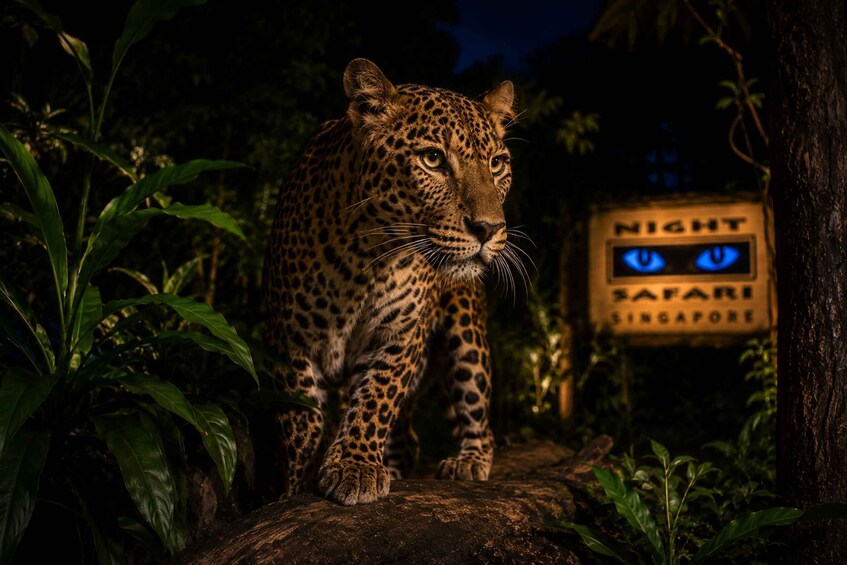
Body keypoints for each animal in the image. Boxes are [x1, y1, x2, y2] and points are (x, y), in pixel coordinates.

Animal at [262, 58, 523, 506]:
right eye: (433, 159)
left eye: (497, 164)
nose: (490, 229)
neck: (366, 258)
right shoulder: (290, 339)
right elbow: (301, 423)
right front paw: (295, 487)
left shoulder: (401, 333)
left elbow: (376, 400)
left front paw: (353, 467)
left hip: (466, 336)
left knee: (477, 414)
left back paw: (468, 460)